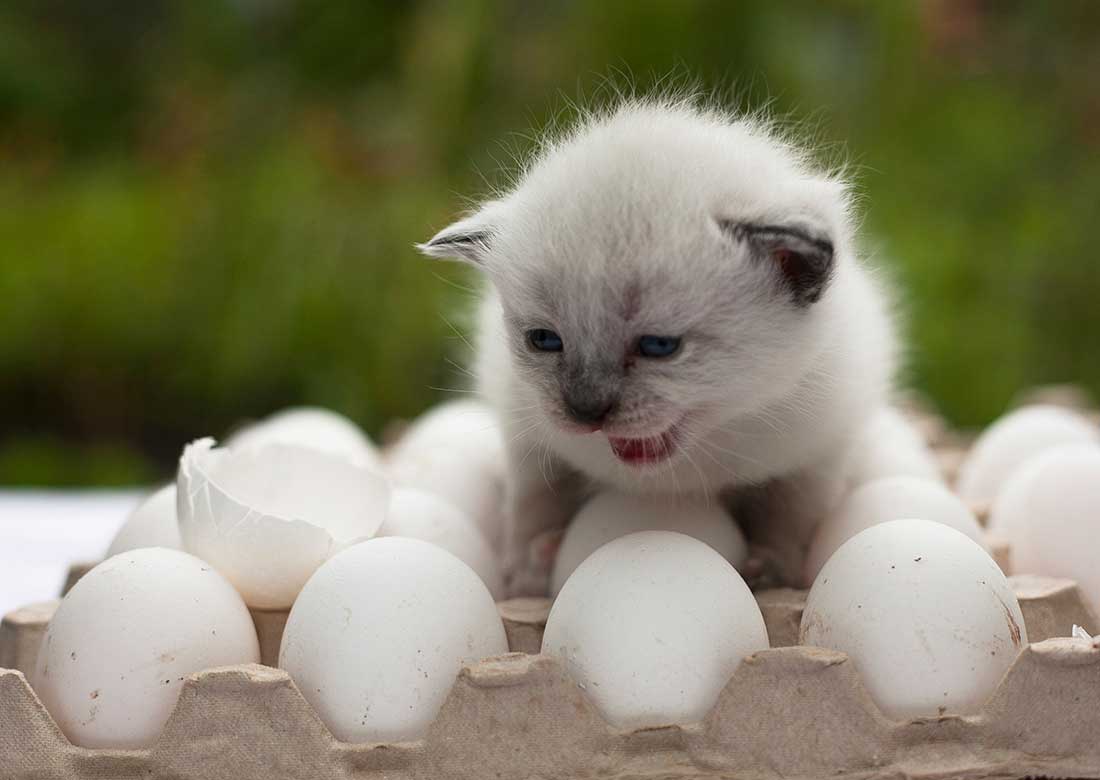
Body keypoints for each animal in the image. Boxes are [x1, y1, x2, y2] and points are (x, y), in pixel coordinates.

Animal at [415, 97, 897, 598]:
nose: (585, 412)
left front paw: (769, 571)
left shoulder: (818, 455)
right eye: (545, 340)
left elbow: (791, 520)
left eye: (659, 346)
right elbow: (533, 505)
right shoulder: (527, 439)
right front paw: (529, 572)